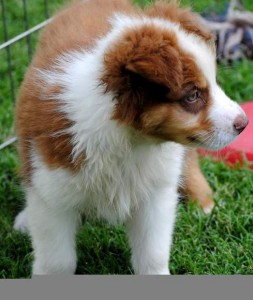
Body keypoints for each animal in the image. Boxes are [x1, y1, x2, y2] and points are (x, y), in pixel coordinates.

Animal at [13, 0, 247, 274]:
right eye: (192, 96)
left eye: (215, 82)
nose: (244, 123)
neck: (131, 139)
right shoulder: (51, 192)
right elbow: (57, 260)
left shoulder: (155, 193)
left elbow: (153, 253)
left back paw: (207, 207)